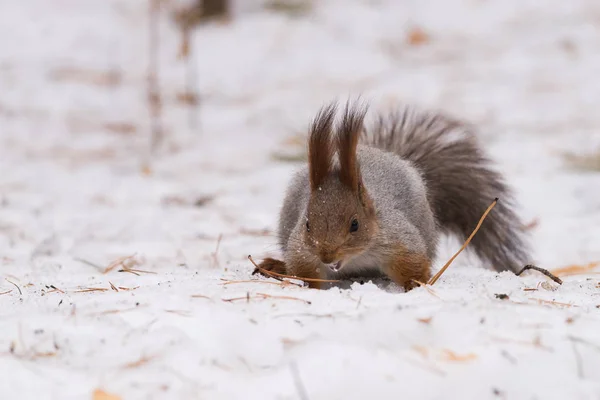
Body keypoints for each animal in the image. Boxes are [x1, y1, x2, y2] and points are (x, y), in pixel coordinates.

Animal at [252, 101, 528, 290]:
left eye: (355, 224)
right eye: (307, 224)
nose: (327, 256)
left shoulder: (399, 241)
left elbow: (412, 264)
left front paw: (416, 287)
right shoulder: (302, 249)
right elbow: (305, 270)